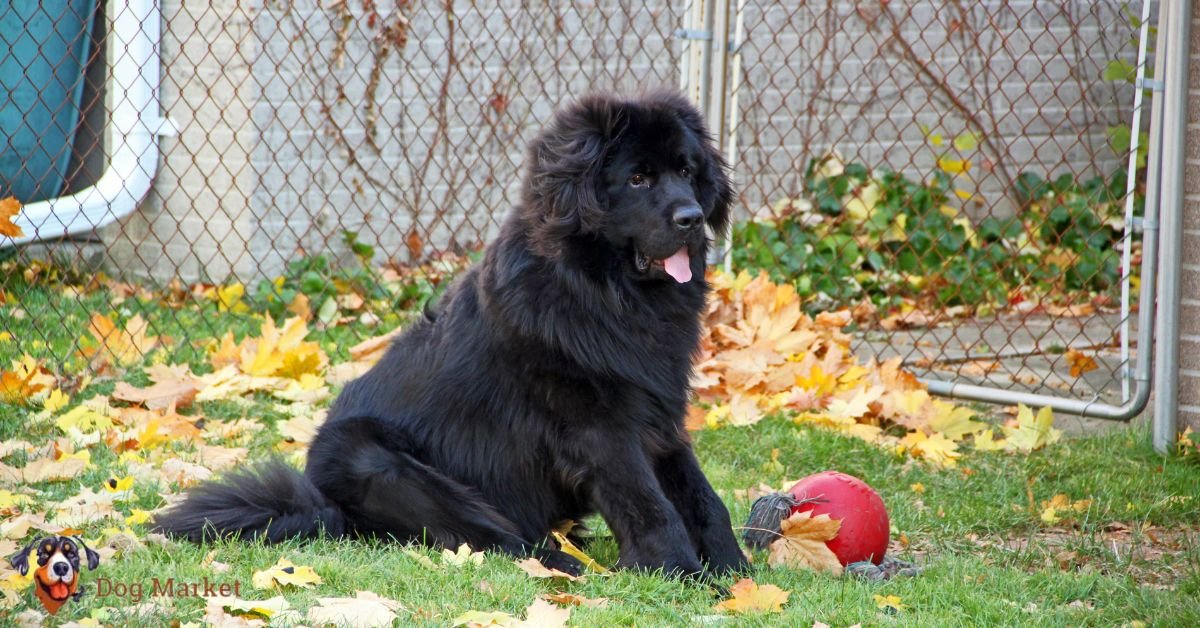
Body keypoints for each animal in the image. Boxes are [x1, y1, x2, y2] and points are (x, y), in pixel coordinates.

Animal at [154, 89, 744, 581]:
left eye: (687, 171)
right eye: (638, 179)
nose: (691, 217)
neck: (606, 292)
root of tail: (325, 506)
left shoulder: (657, 415)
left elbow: (702, 497)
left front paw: (734, 569)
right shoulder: (601, 429)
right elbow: (651, 505)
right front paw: (681, 572)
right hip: (383, 463)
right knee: (492, 538)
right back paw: (563, 564)